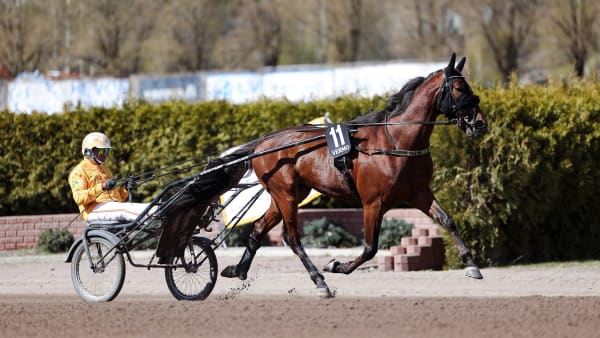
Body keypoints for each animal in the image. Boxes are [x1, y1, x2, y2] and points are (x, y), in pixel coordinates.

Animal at [220, 51, 488, 298]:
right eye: (458, 87)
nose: (479, 123)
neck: (397, 140)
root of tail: (262, 144)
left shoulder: (418, 192)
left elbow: (447, 220)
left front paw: (471, 264)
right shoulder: (372, 203)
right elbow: (370, 248)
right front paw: (337, 265)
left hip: (289, 194)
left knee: (258, 227)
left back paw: (237, 270)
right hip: (285, 194)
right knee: (292, 237)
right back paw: (320, 282)